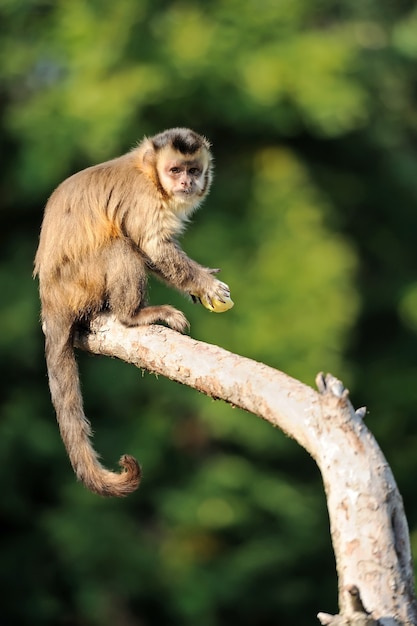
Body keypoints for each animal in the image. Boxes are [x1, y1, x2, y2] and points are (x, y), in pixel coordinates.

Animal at [34, 128, 231, 498]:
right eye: (175, 171)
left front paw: (198, 284)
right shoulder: (145, 199)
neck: (150, 175)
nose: (186, 183)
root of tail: (49, 297)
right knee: (120, 247)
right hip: (79, 283)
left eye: (193, 170)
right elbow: (152, 246)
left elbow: (153, 252)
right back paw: (133, 315)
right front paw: (205, 284)